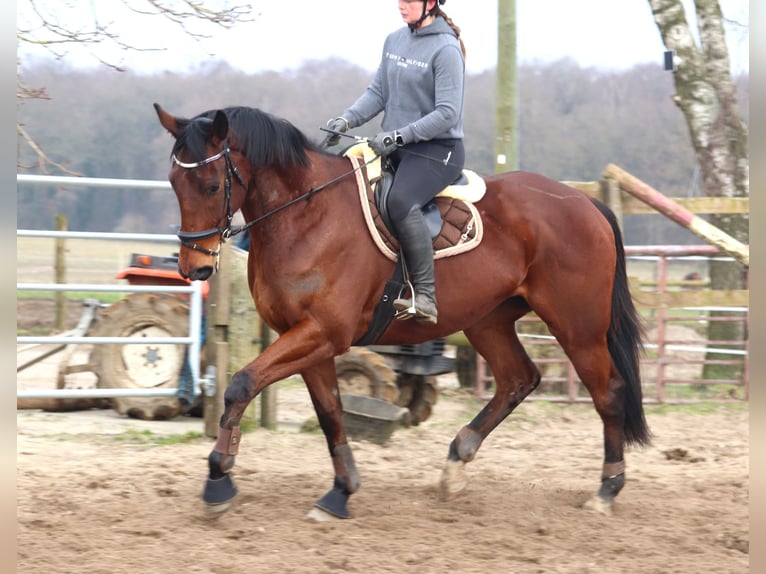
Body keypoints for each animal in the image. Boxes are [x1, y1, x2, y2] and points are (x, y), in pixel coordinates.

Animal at [153, 102, 652, 520]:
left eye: (212, 185)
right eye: (174, 183)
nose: (194, 267)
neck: (306, 217)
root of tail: (585, 202)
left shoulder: (321, 333)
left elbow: (240, 384)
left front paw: (219, 477)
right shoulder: (306, 337)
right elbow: (330, 411)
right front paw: (341, 491)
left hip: (577, 326)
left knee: (608, 393)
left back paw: (606, 490)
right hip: (487, 321)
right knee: (518, 379)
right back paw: (456, 463)